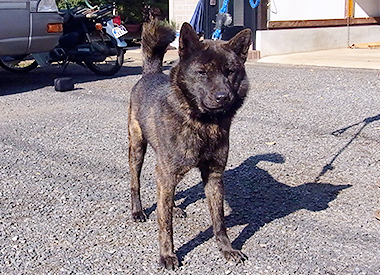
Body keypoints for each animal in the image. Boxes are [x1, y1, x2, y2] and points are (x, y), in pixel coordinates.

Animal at [128, 20, 252, 270]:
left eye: (230, 72)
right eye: (202, 72)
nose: (223, 97)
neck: (203, 123)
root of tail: (150, 73)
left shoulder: (213, 175)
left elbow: (219, 220)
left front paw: (227, 249)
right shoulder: (165, 172)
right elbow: (164, 223)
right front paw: (167, 255)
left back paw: (174, 206)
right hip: (137, 149)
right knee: (136, 183)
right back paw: (137, 211)